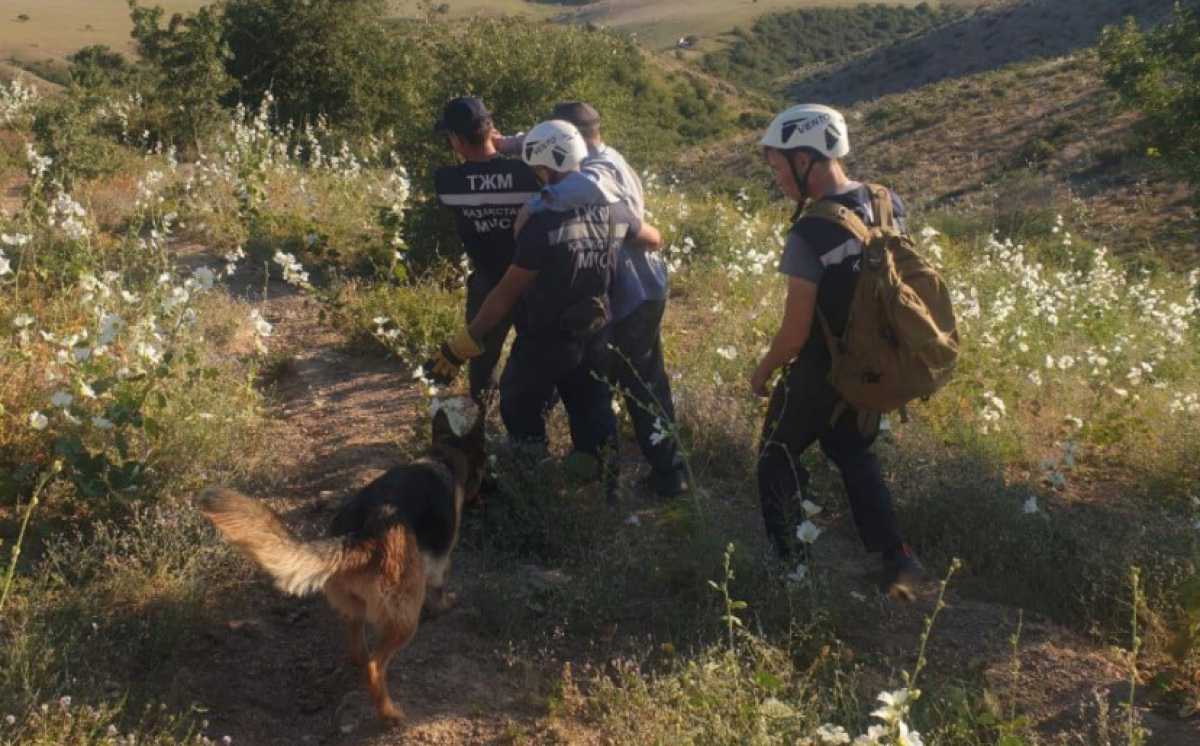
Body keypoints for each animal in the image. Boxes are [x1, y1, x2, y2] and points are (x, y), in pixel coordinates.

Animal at [196, 398, 482, 724]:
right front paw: (445, 605)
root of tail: (357, 538)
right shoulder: (440, 561)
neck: (441, 458)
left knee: (358, 652)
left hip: (354, 608)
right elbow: (440, 586)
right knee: (374, 666)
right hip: (404, 618)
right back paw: (389, 714)